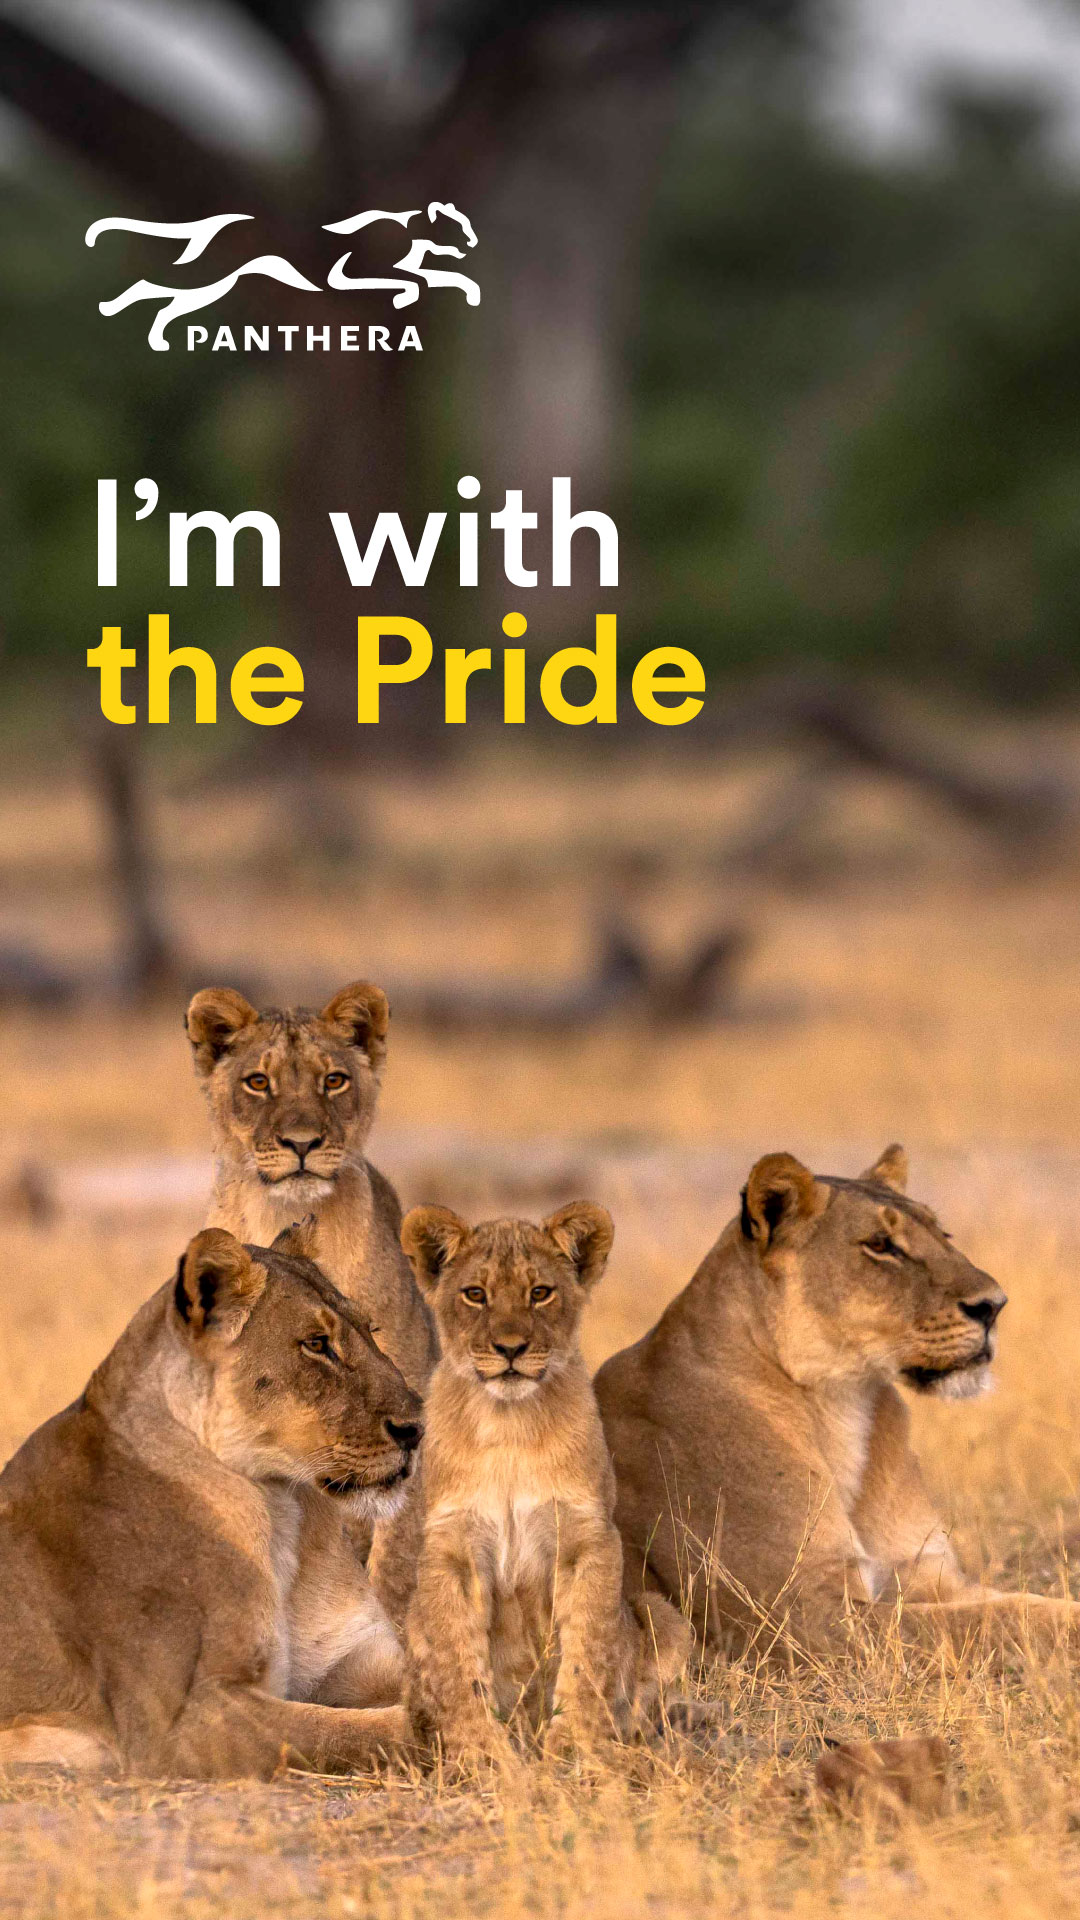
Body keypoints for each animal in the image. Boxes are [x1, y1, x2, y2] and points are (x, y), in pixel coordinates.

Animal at [0, 1224, 423, 1779]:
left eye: (370, 1330)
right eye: (316, 1344)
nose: (417, 1428)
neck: (281, 1510)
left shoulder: (358, 1659)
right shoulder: (175, 1723)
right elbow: (351, 1731)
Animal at [397, 1203, 690, 1765]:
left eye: (540, 1292)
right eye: (475, 1293)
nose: (511, 1348)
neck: (509, 1423)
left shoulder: (588, 1538)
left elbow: (586, 1651)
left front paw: (573, 1746)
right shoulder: (451, 1548)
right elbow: (459, 1662)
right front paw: (484, 1755)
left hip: (660, 1614)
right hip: (412, 1617)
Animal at [594, 1146, 1080, 1660]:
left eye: (943, 1235)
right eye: (881, 1245)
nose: (994, 1306)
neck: (844, 1405)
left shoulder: (929, 1573)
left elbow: (1022, 1604)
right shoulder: (803, 1623)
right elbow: (991, 1621)